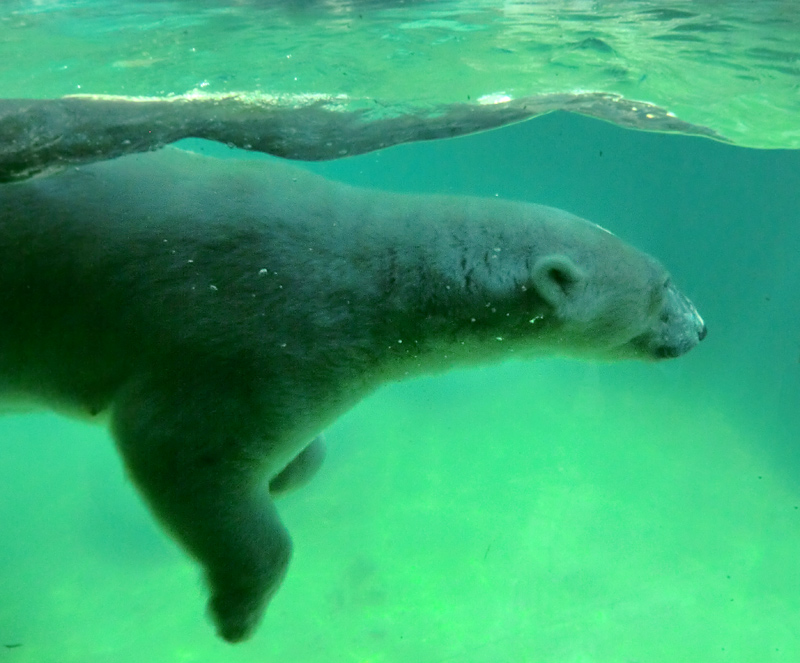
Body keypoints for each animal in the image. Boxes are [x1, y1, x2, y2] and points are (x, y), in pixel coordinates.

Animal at [0, 148, 704, 640]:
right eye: (665, 285)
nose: (701, 328)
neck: (385, 279)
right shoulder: (261, 333)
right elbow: (183, 447)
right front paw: (236, 612)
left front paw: (289, 469)